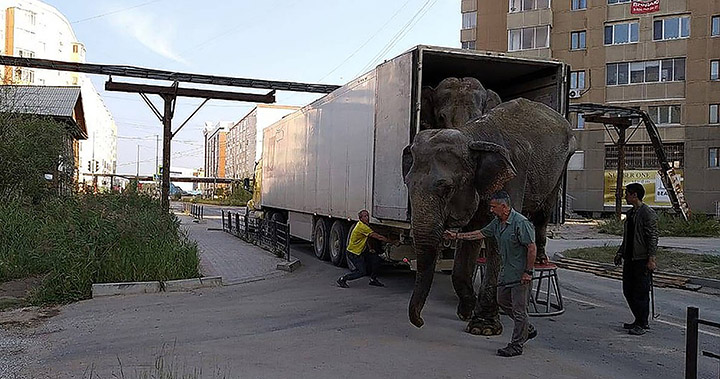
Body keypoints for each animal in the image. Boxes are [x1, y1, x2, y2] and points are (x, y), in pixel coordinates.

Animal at [402, 98, 576, 332]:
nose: (420, 322)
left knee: (543, 212)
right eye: (407, 184)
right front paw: (466, 312)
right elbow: (472, 232)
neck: (472, 136)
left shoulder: (513, 174)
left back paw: (539, 259)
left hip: (561, 167)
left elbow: (499, 240)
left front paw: (483, 327)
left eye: (447, 189)